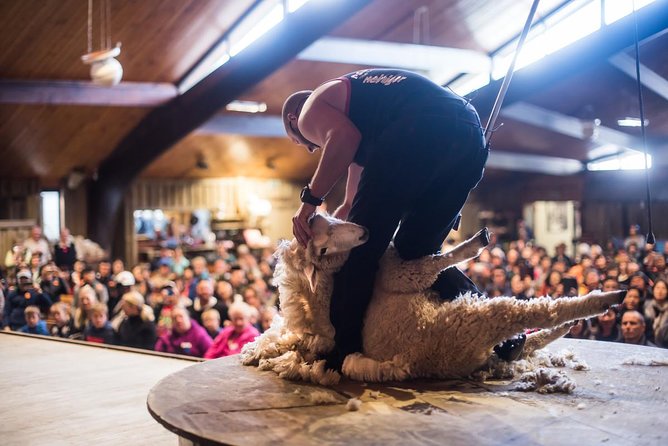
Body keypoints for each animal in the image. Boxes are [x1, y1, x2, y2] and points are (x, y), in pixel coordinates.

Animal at [241, 214, 628, 386]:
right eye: (320, 250)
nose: (365, 231)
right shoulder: (400, 272)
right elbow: (437, 263)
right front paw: (473, 244)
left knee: (530, 335)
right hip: (477, 317)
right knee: (538, 312)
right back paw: (604, 300)